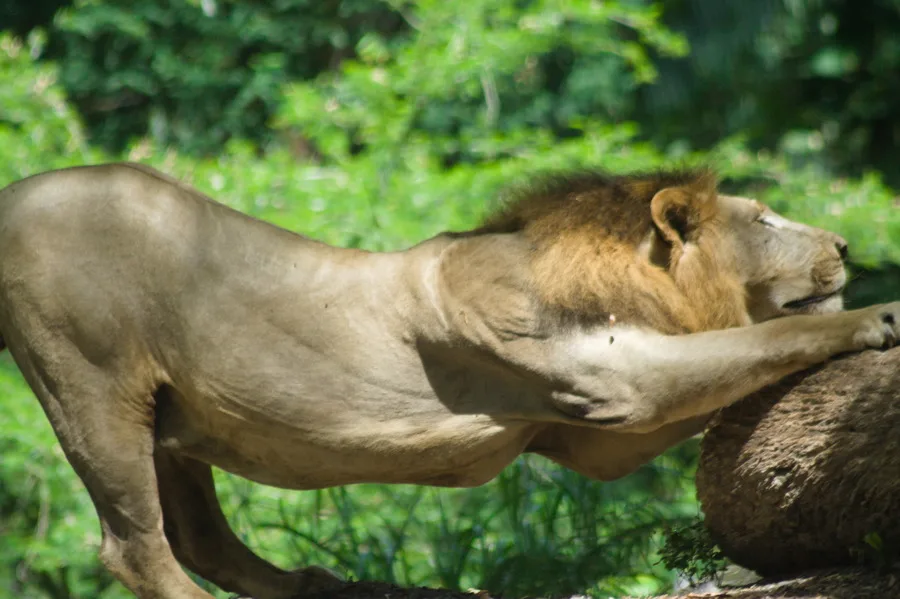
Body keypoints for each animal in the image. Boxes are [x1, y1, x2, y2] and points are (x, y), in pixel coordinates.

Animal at [0, 163, 897, 599]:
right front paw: (880, 315)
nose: (847, 245)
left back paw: (305, 583)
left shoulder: (594, 431)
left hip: (173, 416)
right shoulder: (613, 381)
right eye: (766, 220)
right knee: (134, 548)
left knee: (201, 536)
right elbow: (771, 334)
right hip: (94, 387)